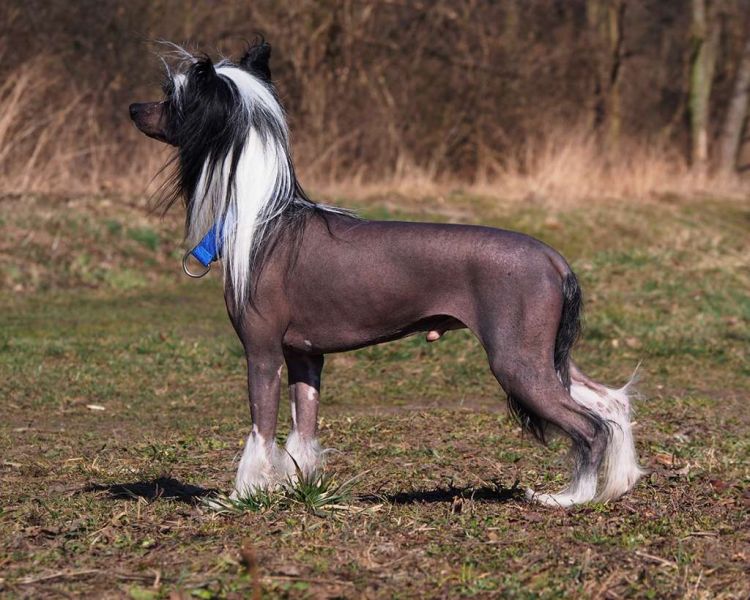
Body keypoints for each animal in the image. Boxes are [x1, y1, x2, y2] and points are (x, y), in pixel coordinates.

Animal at [129, 41, 643, 507]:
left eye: (171, 98)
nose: (133, 108)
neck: (264, 216)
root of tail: (555, 258)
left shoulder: (262, 353)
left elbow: (260, 432)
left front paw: (242, 497)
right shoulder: (305, 357)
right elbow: (303, 430)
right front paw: (299, 488)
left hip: (517, 361)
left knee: (590, 427)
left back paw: (571, 497)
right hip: (547, 356)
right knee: (610, 404)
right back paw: (618, 484)